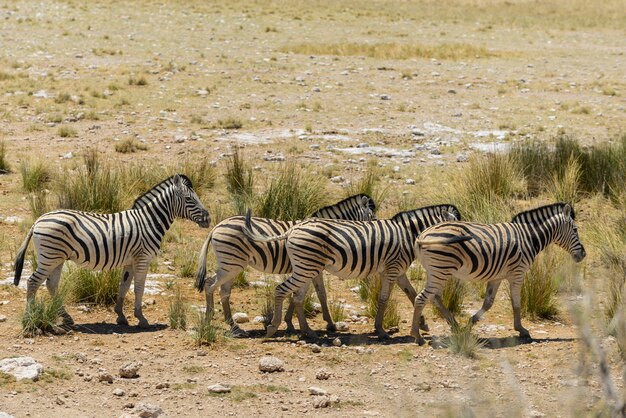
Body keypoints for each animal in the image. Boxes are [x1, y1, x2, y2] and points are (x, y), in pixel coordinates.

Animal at [14, 175, 210, 328]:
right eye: (189, 199)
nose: (208, 219)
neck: (149, 221)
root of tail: (38, 219)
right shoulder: (143, 259)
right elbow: (139, 288)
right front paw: (141, 319)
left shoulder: (130, 261)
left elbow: (124, 287)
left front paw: (121, 316)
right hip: (50, 256)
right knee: (33, 282)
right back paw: (31, 317)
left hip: (56, 258)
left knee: (51, 285)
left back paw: (66, 317)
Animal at [193, 193, 376, 336]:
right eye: (373, 218)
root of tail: (217, 226)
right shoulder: (310, 268)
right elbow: (309, 295)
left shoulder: (312, 269)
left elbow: (316, 294)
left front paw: (315, 323)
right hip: (231, 264)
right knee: (210, 284)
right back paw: (209, 319)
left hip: (231, 265)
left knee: (223, 291)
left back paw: (234, 326)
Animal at [241, 203, 460, 340]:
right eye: (456, 228)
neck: (409, 235)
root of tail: (292, 230)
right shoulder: (392, 270)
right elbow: (384, 299)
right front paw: (381, 330)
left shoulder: (398, 271)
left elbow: (416, 295)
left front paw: (428, 323)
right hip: (306, 268)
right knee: (281, 290)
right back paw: (273, 328)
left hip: (306, 267)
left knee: (297, 297)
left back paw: (308, 332)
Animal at [410, 203, 584, 346]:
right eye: (575, 230)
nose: (583, 254)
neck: (529, 238)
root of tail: (421, 236)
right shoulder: (517, 273)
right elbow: (516, 304)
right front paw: (521, 329)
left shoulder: (497, 276)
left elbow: (488, 303)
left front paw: (470, 323)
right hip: (441, 269)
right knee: (421, 298)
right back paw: (417, 335)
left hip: (435, 270)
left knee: (434, 297)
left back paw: (455, 325)